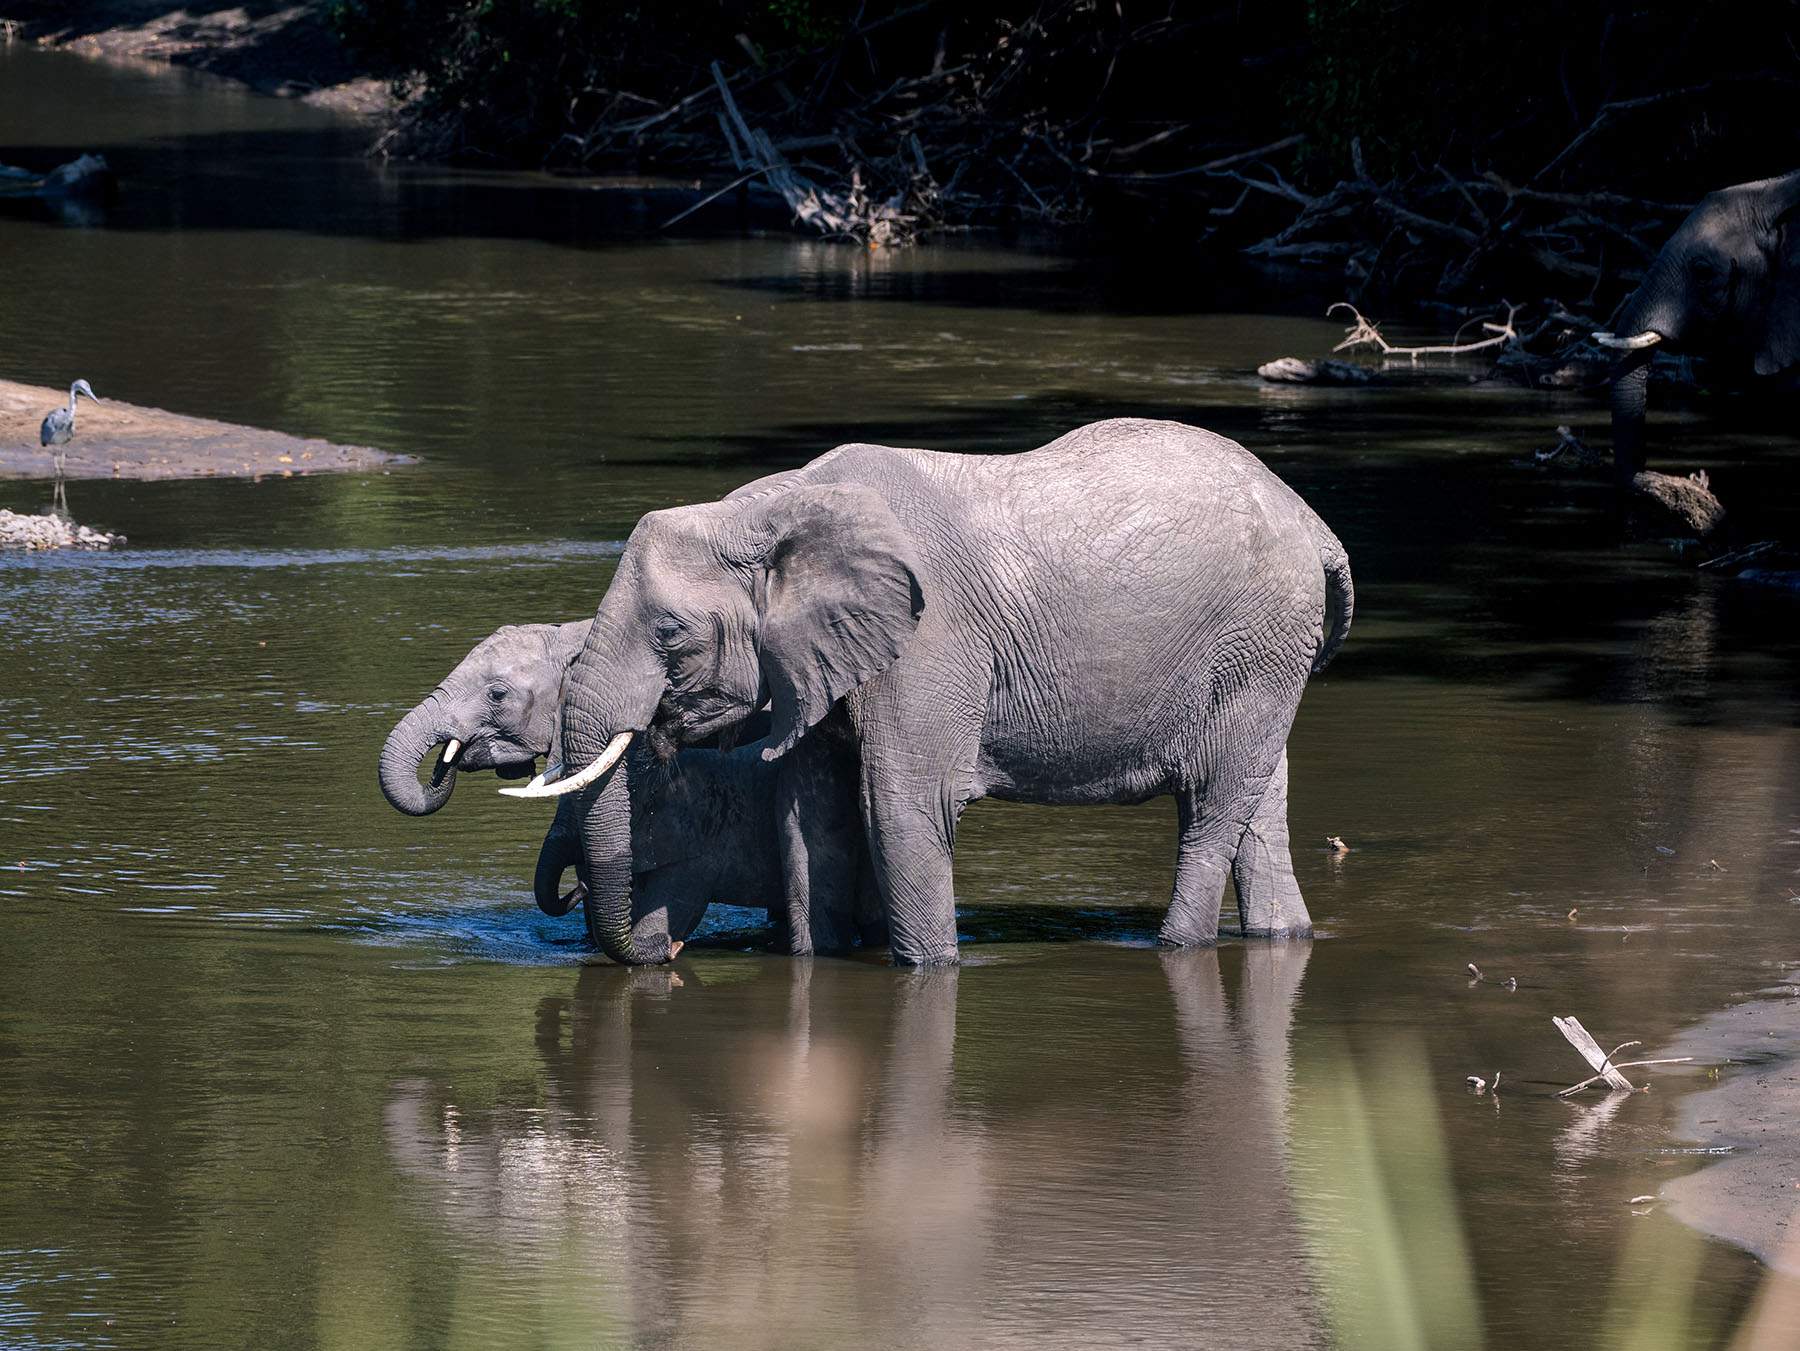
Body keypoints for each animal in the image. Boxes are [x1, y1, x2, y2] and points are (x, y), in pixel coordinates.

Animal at [510, 417, 1353, 967]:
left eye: (672, 632)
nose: (668, 950)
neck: (768, 509)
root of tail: (1315, 525)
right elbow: (810, 815)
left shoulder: (925, 642)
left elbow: (904, 805)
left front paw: (932, 968)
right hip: (1267, 654)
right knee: (1258, 803)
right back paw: (1283, 937)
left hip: (1258, 640)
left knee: (1211, 804)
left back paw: (1176, 945)